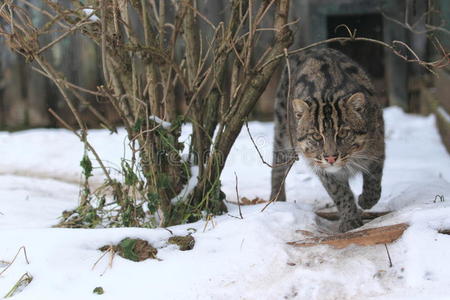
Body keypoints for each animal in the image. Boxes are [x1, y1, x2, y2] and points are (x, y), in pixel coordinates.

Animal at [268, 48, 384, 233]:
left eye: (343, 133)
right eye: (316, 135)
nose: (330, 158)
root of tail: (312, 48)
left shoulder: (378, 148)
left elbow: (374, 180)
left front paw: (366, 200)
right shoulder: (321, 168)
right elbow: (340, 193)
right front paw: (350, 219)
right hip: (282, 130)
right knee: (277, 165)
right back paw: (276, 201)